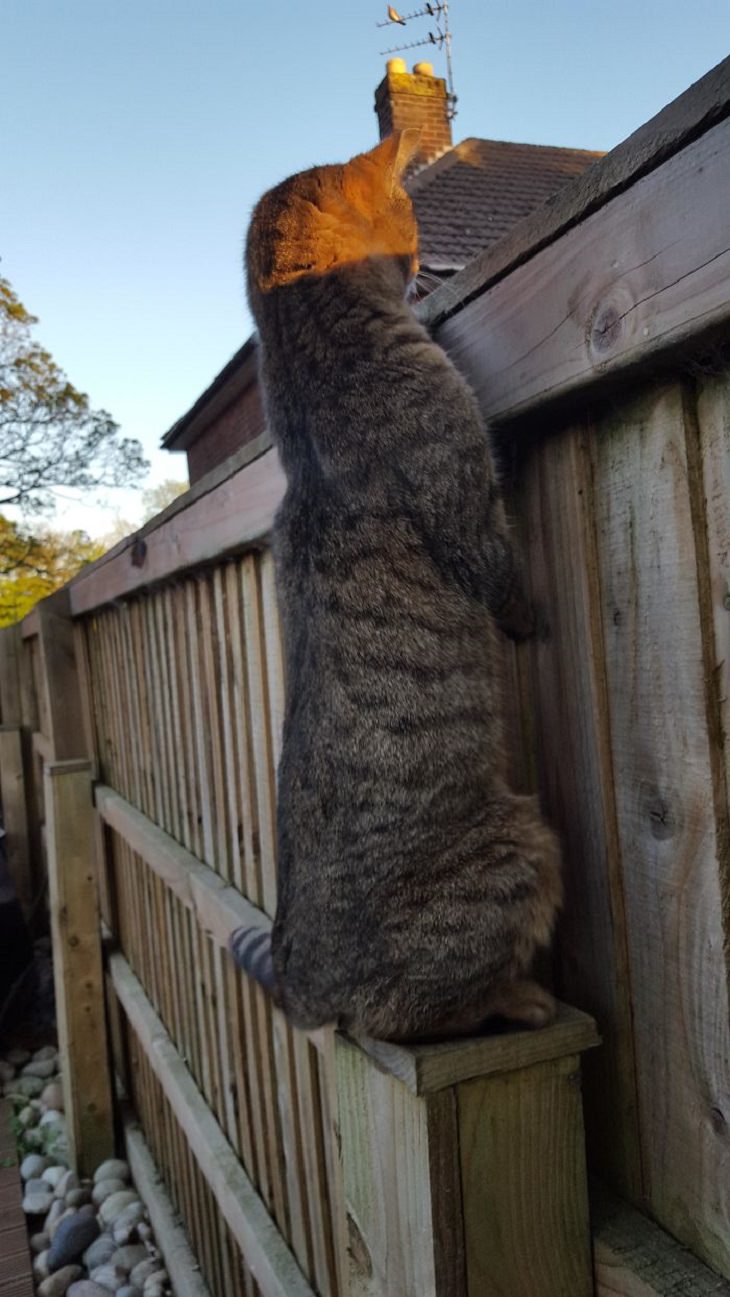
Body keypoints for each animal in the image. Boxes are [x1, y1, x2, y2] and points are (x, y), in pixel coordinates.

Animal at [230, 129, 562, 1042]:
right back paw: (516, 998)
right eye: (409, 209)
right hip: (525, 839)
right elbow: (501, 574)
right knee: (400, 1014)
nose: (422, 266)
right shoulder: (469, 505)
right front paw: (527, 616)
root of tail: (302, 979)